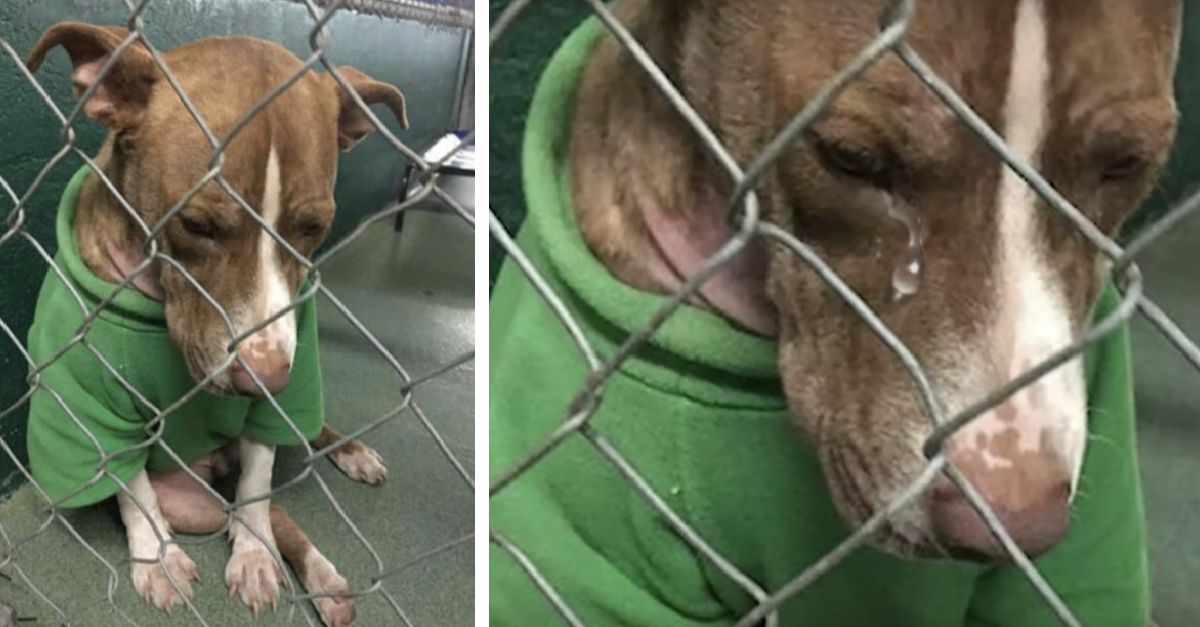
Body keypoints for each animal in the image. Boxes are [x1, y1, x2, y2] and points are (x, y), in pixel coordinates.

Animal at [23, 21, 405, 619]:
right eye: (198, 225)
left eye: (313, 228)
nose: (265, 380)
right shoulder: (89, 406)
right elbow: (135, 491)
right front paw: (157, 559)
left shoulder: (282, 392)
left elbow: (256, 486)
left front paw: (252, 557)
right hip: (192, 500)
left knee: (280, 492)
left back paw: (335, 515)